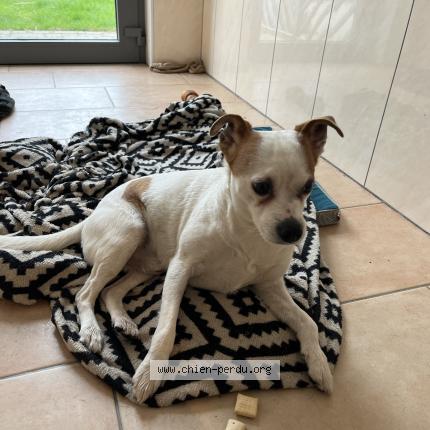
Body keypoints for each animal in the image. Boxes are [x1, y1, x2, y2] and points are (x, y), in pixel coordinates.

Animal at [0, 110, 343, 403]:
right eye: (260, 187)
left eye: (308, 186)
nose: (293, 232)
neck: (244, 231)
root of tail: (92, 215)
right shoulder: (179, 271)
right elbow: (166, 328)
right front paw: (148, 376)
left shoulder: (269, 287)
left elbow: (308, 323)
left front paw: (319, 364)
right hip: (129, 233)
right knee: (85, 293)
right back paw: (93, 331)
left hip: (148, 267)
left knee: (110, 291)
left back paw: (122, 319)